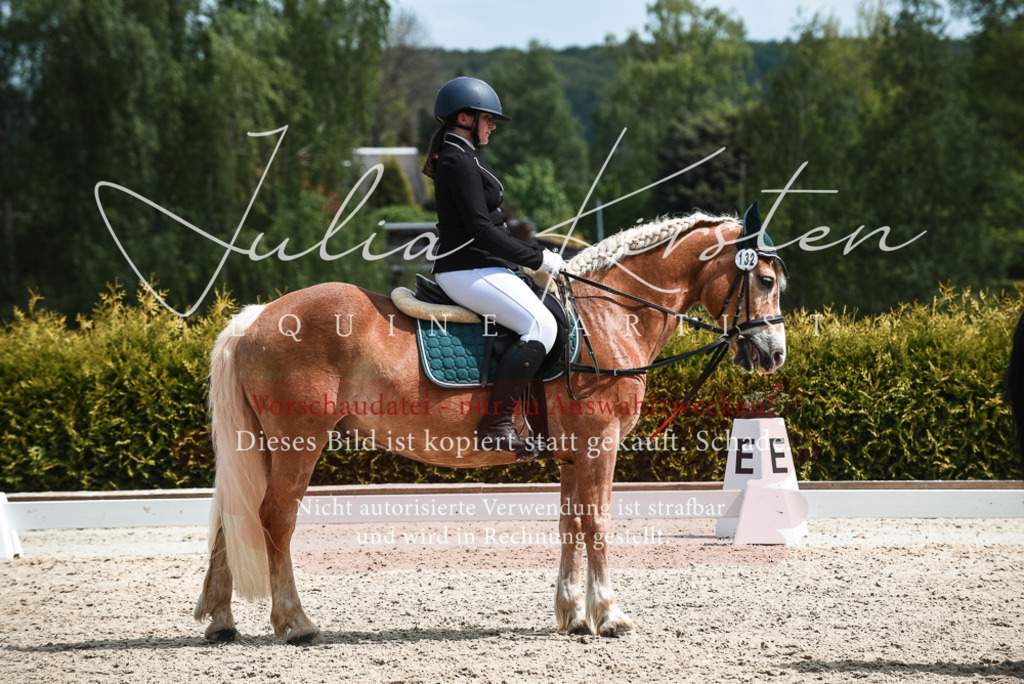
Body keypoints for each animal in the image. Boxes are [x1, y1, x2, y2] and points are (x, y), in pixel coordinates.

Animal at [194, 211, 788, 643]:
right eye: (764, 280)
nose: (774, 354)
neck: (609, 317)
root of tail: (258, 316)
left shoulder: (572, 454)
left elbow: (570, 525)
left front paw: (573, 616)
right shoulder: (599, 447)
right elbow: (596, 523)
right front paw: (609, 615)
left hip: (260, 443)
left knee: (232, 514)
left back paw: (221, 621)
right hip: (299, 442)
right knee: (275, 518)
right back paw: (295, 623)